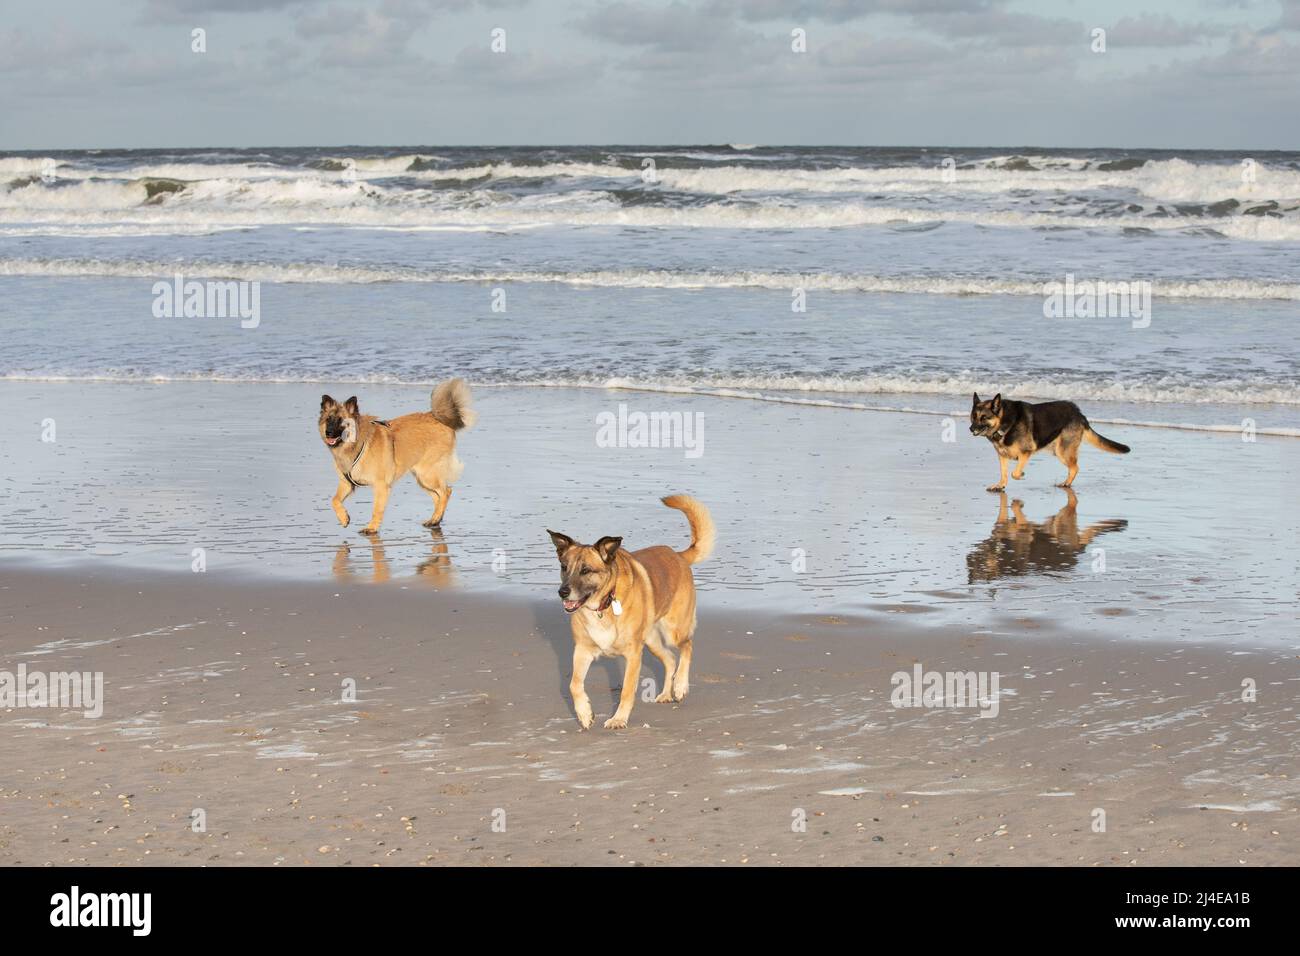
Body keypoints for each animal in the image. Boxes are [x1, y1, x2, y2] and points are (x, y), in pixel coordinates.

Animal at [546, 496, 717, 728]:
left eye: (585, 570)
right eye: (564, 567)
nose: (562, 592)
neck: (604, 605)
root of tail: (678, 556)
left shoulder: (633, 654)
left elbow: (627, 690)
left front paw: (618, 719)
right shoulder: (582, 650)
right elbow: (574, 684)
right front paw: (584, 713)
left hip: (673, 630)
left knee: (687, 647)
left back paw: (680, 686)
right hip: (652, 640)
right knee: (670, 659)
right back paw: (666, 694)